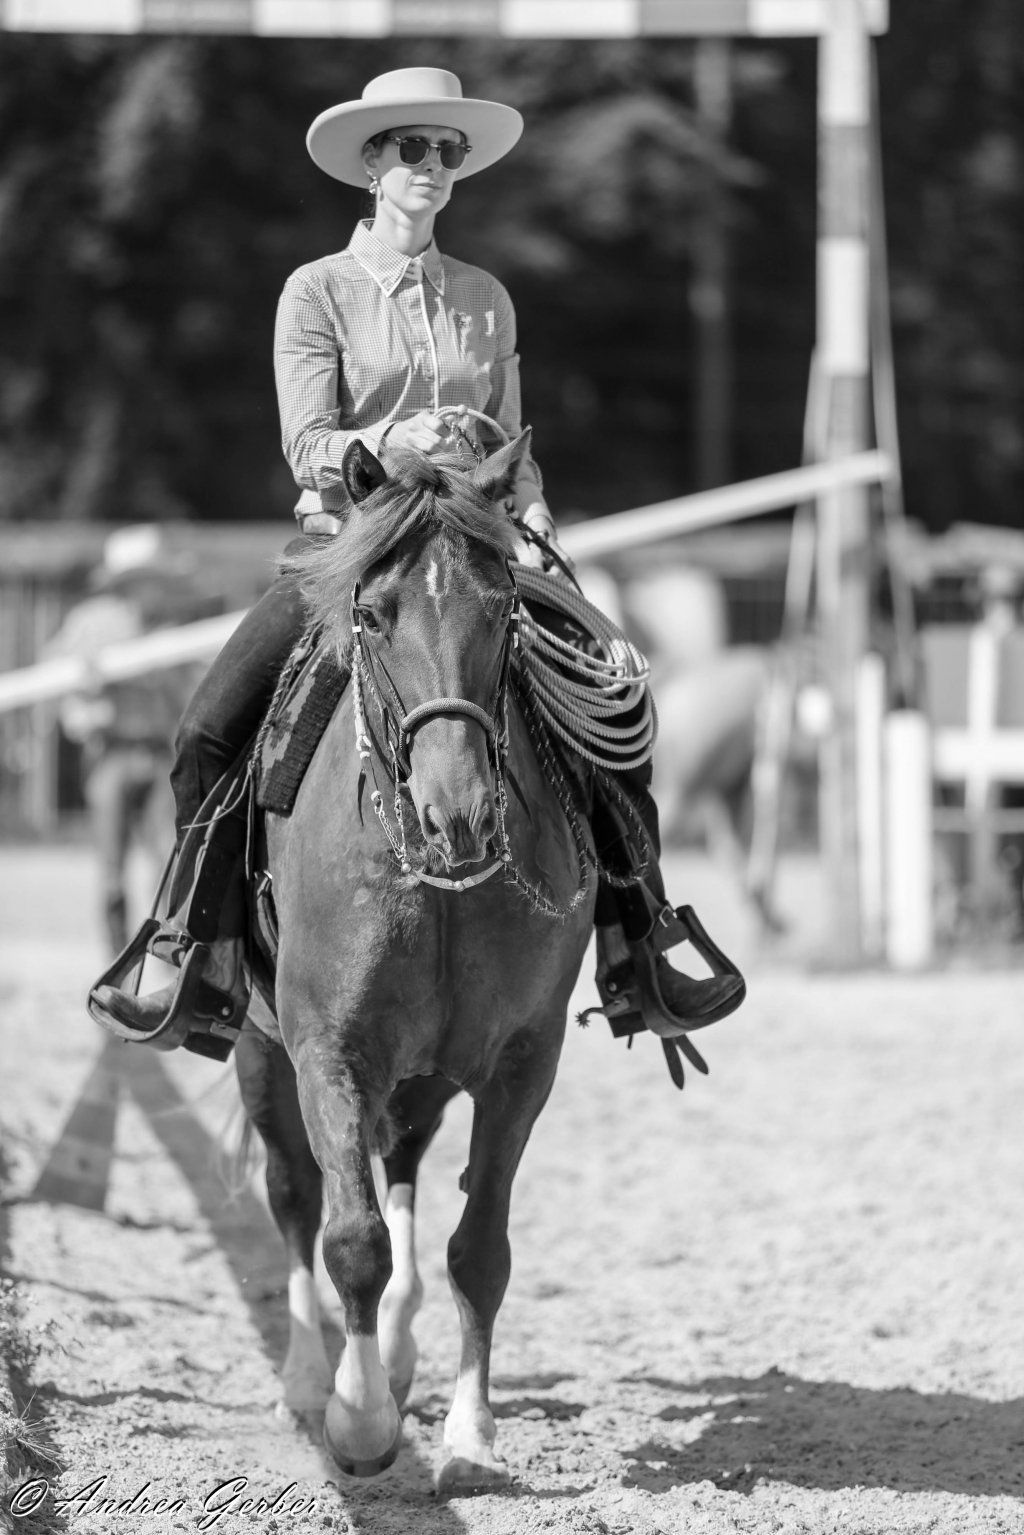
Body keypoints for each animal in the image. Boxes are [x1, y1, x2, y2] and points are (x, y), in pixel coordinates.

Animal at [235, 431, 596, 1493]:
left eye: (507, 607)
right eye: (372, 612)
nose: (458, 813)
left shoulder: (523, 1063)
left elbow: (480, 1249)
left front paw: (470, 1438)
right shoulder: (327, 1050)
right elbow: (348, 1235)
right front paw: (358, 1423)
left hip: (426, 1072)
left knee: (401, 1167)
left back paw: (394, 1356)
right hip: (261, 1053)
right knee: (292, 1194)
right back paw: (311, 1379)